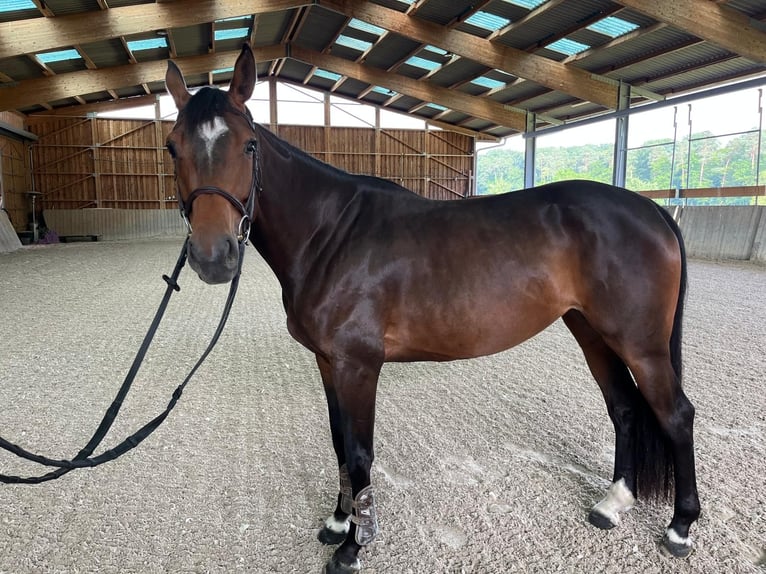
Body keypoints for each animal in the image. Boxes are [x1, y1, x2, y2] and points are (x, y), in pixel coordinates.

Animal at [164, 42, 704, 572]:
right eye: (172, 146)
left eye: (249, 145)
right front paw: (338, 523)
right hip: (591, 331)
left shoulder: (359, 366)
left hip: (640, 344)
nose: (212, 258)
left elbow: (359, 453)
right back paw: (613, 504)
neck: (331, 234)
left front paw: (351, 548)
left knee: (675, 414)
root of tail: (649, 208)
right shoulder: (327, 362)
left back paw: (679, 528)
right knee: (625, 408)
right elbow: (339, 444)